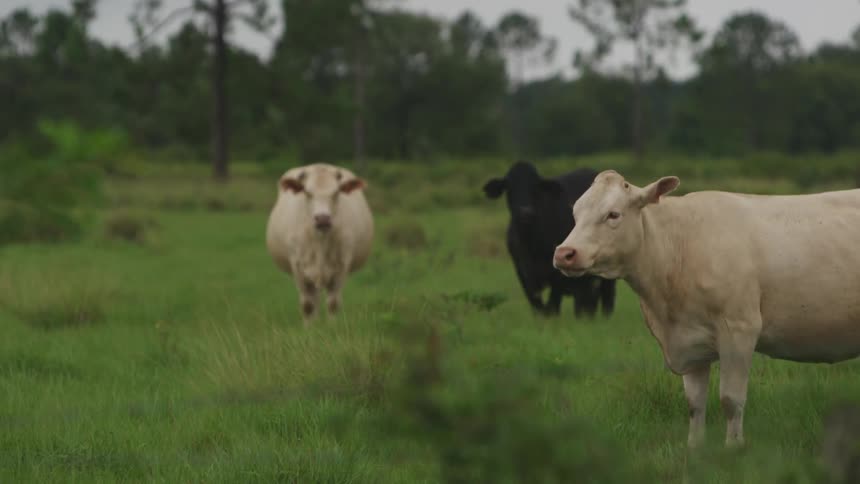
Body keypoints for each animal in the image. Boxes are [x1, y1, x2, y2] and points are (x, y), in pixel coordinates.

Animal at [266, 163, 374, 323]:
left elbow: (333, 303)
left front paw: (332, 326)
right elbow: (307, 304)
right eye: (307, 192)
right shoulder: (297, 265)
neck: (320, 243)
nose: (322, 218)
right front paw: (309, 328)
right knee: (314, 298)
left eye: (336, 192)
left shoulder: (343, 265)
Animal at [483, 161, 616, 318]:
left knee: (605, 300)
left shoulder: (557, 275)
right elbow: (538, 307)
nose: (525, 212)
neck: (531, 243)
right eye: (509, 187)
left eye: (535, 188)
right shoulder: (523, 274)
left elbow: (553, 307)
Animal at [553, 170, 860, 447]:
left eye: (613, 215)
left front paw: (733, 448)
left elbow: (731, 400)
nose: (564, 253)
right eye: (576, 213)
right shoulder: (689, 342)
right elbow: (695, 403)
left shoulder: (739, 330)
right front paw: (695, 449)